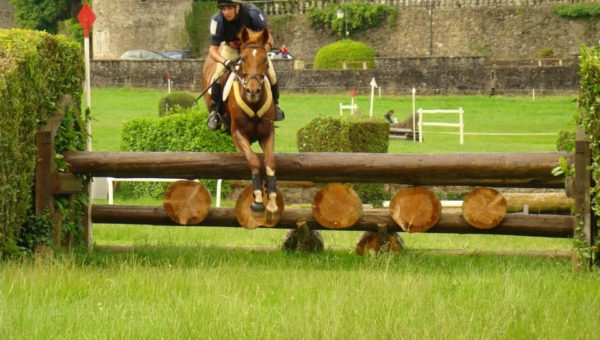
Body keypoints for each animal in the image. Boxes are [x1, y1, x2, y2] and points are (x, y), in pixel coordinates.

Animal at [199, 27, 278, 222]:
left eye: (265, 59)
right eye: (243, 59)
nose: (253, 91)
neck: (254, 104)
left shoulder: (268, 133)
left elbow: (270, 162)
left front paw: (272, 201)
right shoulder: (238, 133)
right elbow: (254, 161)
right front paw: (257, 201)